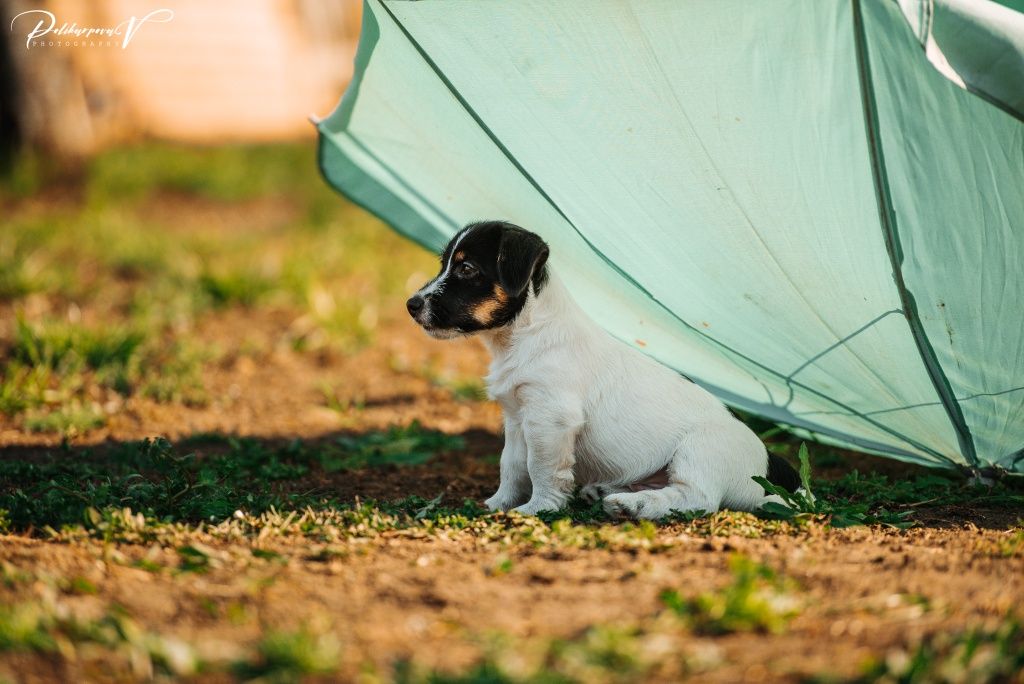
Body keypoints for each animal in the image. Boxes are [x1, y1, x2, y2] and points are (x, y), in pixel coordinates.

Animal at [403, 223, 794, 518]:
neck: (526, 336)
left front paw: (538, 509)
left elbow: (540, 468)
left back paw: (632, 505)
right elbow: (511, 466)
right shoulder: (516, 419)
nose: (411, 304)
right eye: (445, 264)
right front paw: (497, 504)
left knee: (695, 498)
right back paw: (605, 491)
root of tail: (768, 463)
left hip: (699, 452)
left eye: (467, 269)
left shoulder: (550, 418)